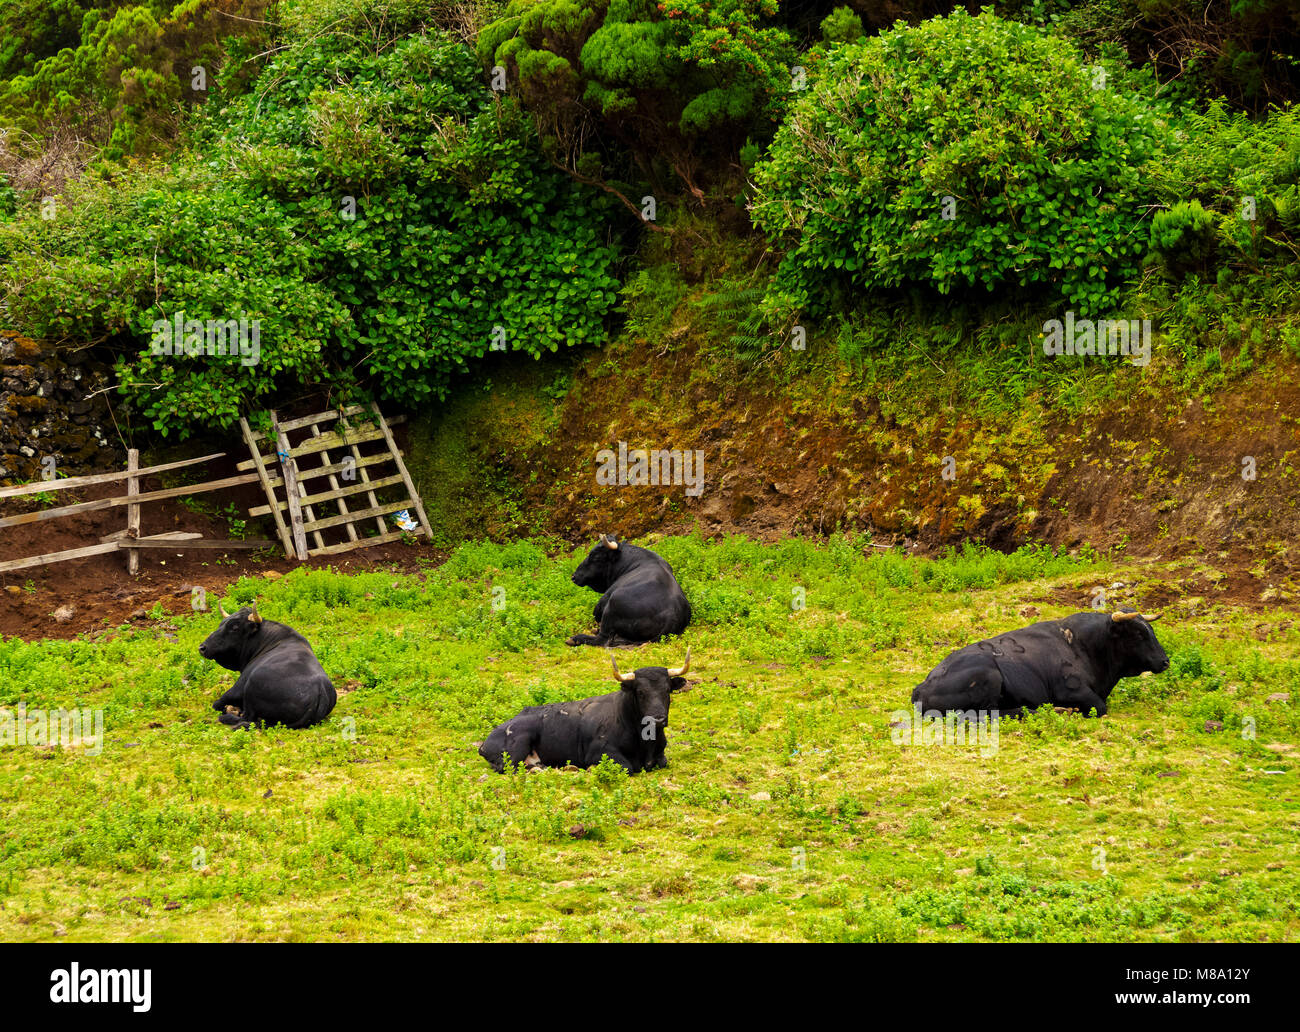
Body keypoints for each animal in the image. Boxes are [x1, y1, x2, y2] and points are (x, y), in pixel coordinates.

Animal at [198, 597, 335, 727]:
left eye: (235, 627)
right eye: (221, 624)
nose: (202, 647)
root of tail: (320, 689)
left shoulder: (238, 687)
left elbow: (216, 704)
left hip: (250, 686)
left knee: (245, 717)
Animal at [480, 647, 691, 769]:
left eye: (667, 690)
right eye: (640, 692)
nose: (658, 719)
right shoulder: (599, 752)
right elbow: (628, 767)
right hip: (518, 744)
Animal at [909, 610, 1175, 717]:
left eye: (1150, 629)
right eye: (1138, 634)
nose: (1165, 661)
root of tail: (920, 688)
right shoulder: (1071, 691)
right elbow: (1099, 707)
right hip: (989, 677)